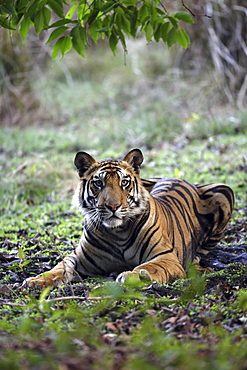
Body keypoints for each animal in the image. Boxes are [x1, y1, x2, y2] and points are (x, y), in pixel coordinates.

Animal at [22, 149, 233, 288]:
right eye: (98, 183)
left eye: (124, 182)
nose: (113, 206)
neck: (117, 232)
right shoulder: (77, 258)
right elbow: (58, 268)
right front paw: (37, 280)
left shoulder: (165, 257)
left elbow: (150, 267)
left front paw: (134, 276)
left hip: (224, 190)